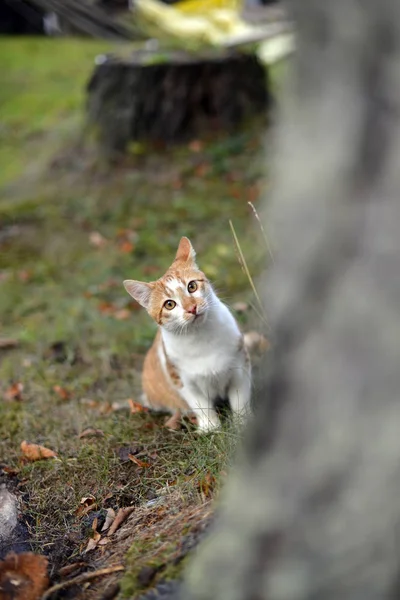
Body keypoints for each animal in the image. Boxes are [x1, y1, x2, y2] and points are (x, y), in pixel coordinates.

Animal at [123, 236, 252, 432]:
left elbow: (240, 400)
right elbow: (201, 405)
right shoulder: (182, 380)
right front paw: (211, 428)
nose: (192, 308)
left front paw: (241, 424)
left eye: (192, 286)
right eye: (169, 304)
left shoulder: (240, 367)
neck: (201, 337)